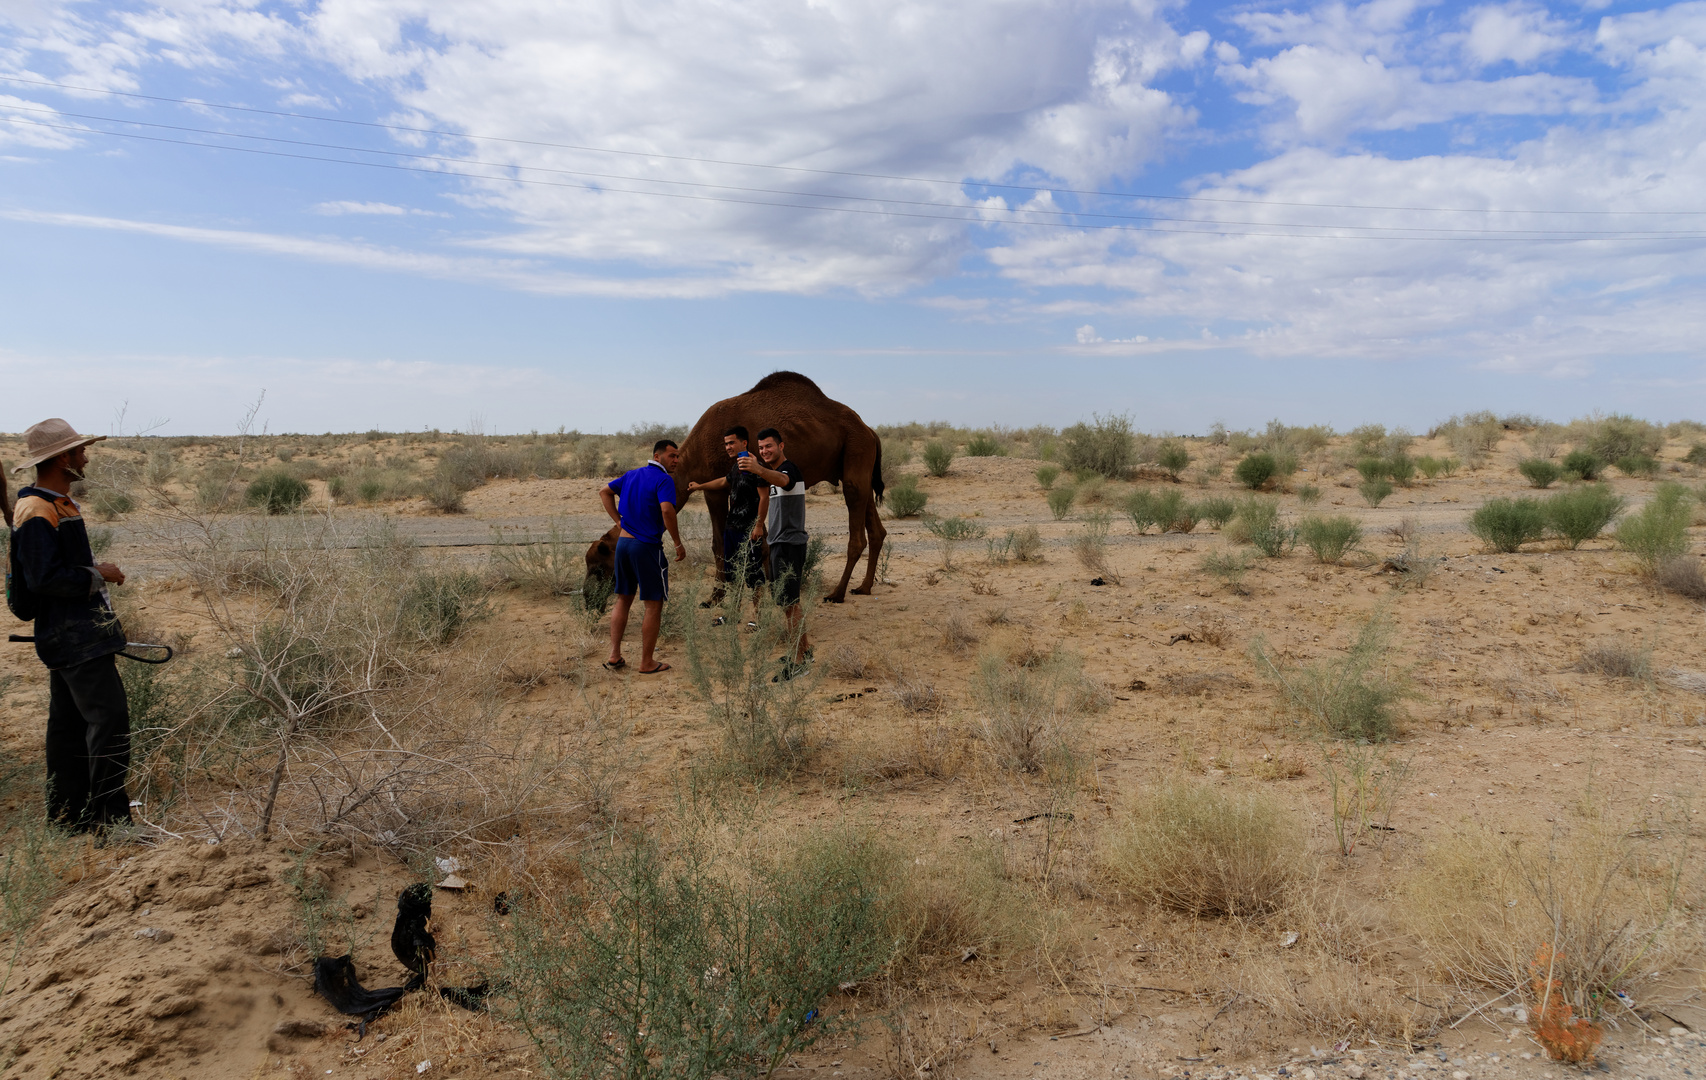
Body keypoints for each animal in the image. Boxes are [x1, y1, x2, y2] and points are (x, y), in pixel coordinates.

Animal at [586, 371, 887, 603]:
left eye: (598, 567)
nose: (590, 601)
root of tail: (870, 430)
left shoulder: (715, 489)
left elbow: (719, 543)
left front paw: (716, 596)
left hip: (856, 453)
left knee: (857, 534)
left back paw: (837, 593)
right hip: (857, 465)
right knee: (877, 529)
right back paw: (864, 587)